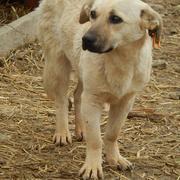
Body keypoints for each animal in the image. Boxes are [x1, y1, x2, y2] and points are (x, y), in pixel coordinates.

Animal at [36, 0, 162, 179]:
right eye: (93, 14)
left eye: (115, 18)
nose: (86, 39)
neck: (120, 61)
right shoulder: (93, 100)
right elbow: (95, 140)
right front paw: (92, 167)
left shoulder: (125, 102)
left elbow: (112, 133)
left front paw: (115, 159)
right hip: (58, 64)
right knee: (62, 101)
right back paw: (62, 133)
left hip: (81, 71)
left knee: (77, 95)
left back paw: (81, 129)